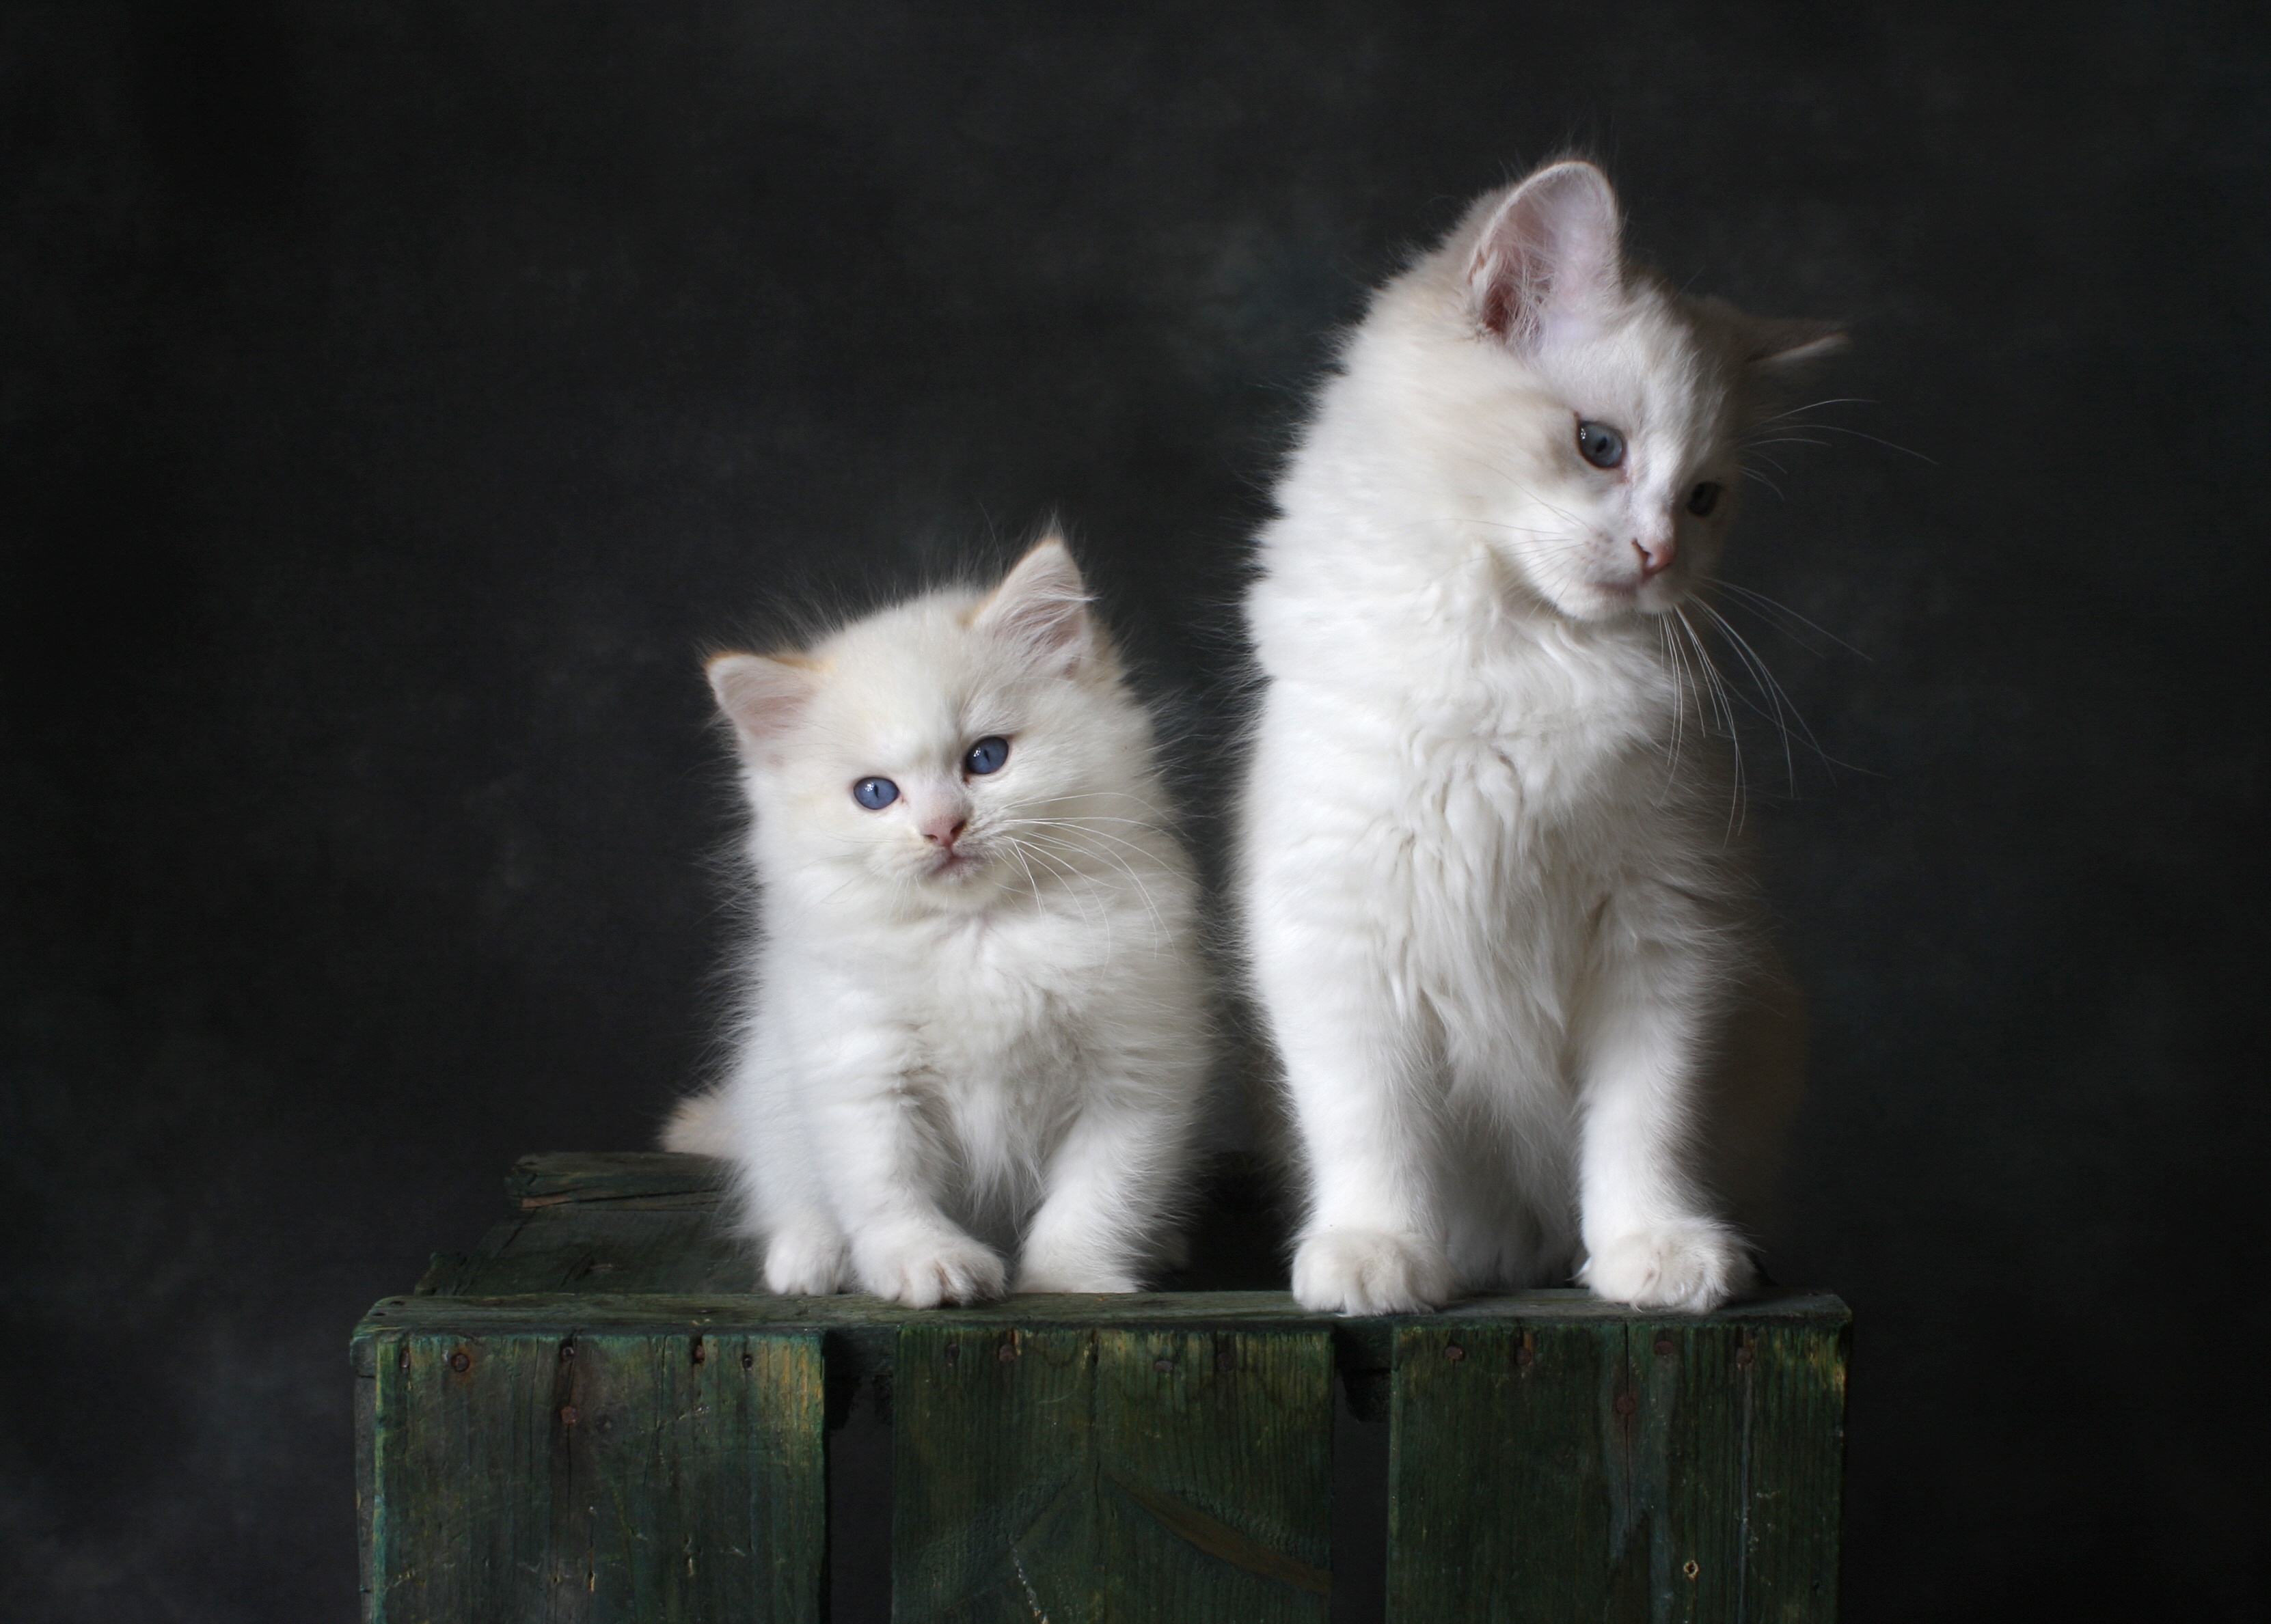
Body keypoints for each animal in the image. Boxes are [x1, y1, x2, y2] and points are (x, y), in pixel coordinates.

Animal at [663, 536, 1217, 1308]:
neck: (978, 936)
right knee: (791, 1192)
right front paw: (926, 1264)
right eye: (875, 794)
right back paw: (808, 1258)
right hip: (771, 1088)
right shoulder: (859, 1067)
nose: (941, 828)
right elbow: (885, 1186)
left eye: (986, 757)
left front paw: (1070, 1279)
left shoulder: (1135, 1068)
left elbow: (1099, 1194)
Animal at [1245, 155, 1844, 1317]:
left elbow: (1643, 1128)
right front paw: (1377, 1252)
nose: (1659, 555)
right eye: (1597, 447)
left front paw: (1655, 1251)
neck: (1522, 651)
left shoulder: (1665, 935)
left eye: (1703, 499)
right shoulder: (1337, 935)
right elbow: (1371, 1126)